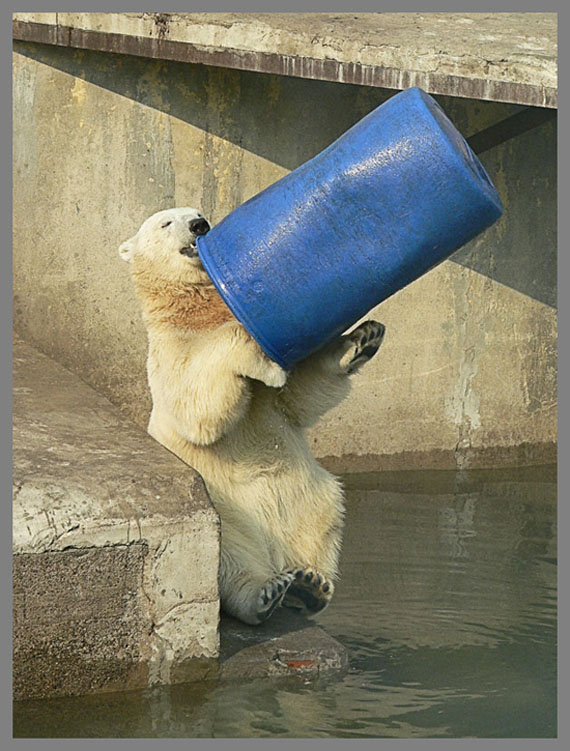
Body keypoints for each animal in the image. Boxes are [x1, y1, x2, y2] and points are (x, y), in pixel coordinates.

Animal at [119, 206, 385, 625]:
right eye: (166, 222)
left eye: (197, 212)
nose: (199, 225)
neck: (192, 315)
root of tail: (274, 553)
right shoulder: (167, 358)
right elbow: (198, 405)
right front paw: (253, 349)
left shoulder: (278, 395)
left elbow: (298, 396)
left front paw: (364, 337)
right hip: (228, 513)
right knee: (229, 561)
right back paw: (267, 593)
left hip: (307, 500)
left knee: (324, 518)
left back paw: (310, 584)